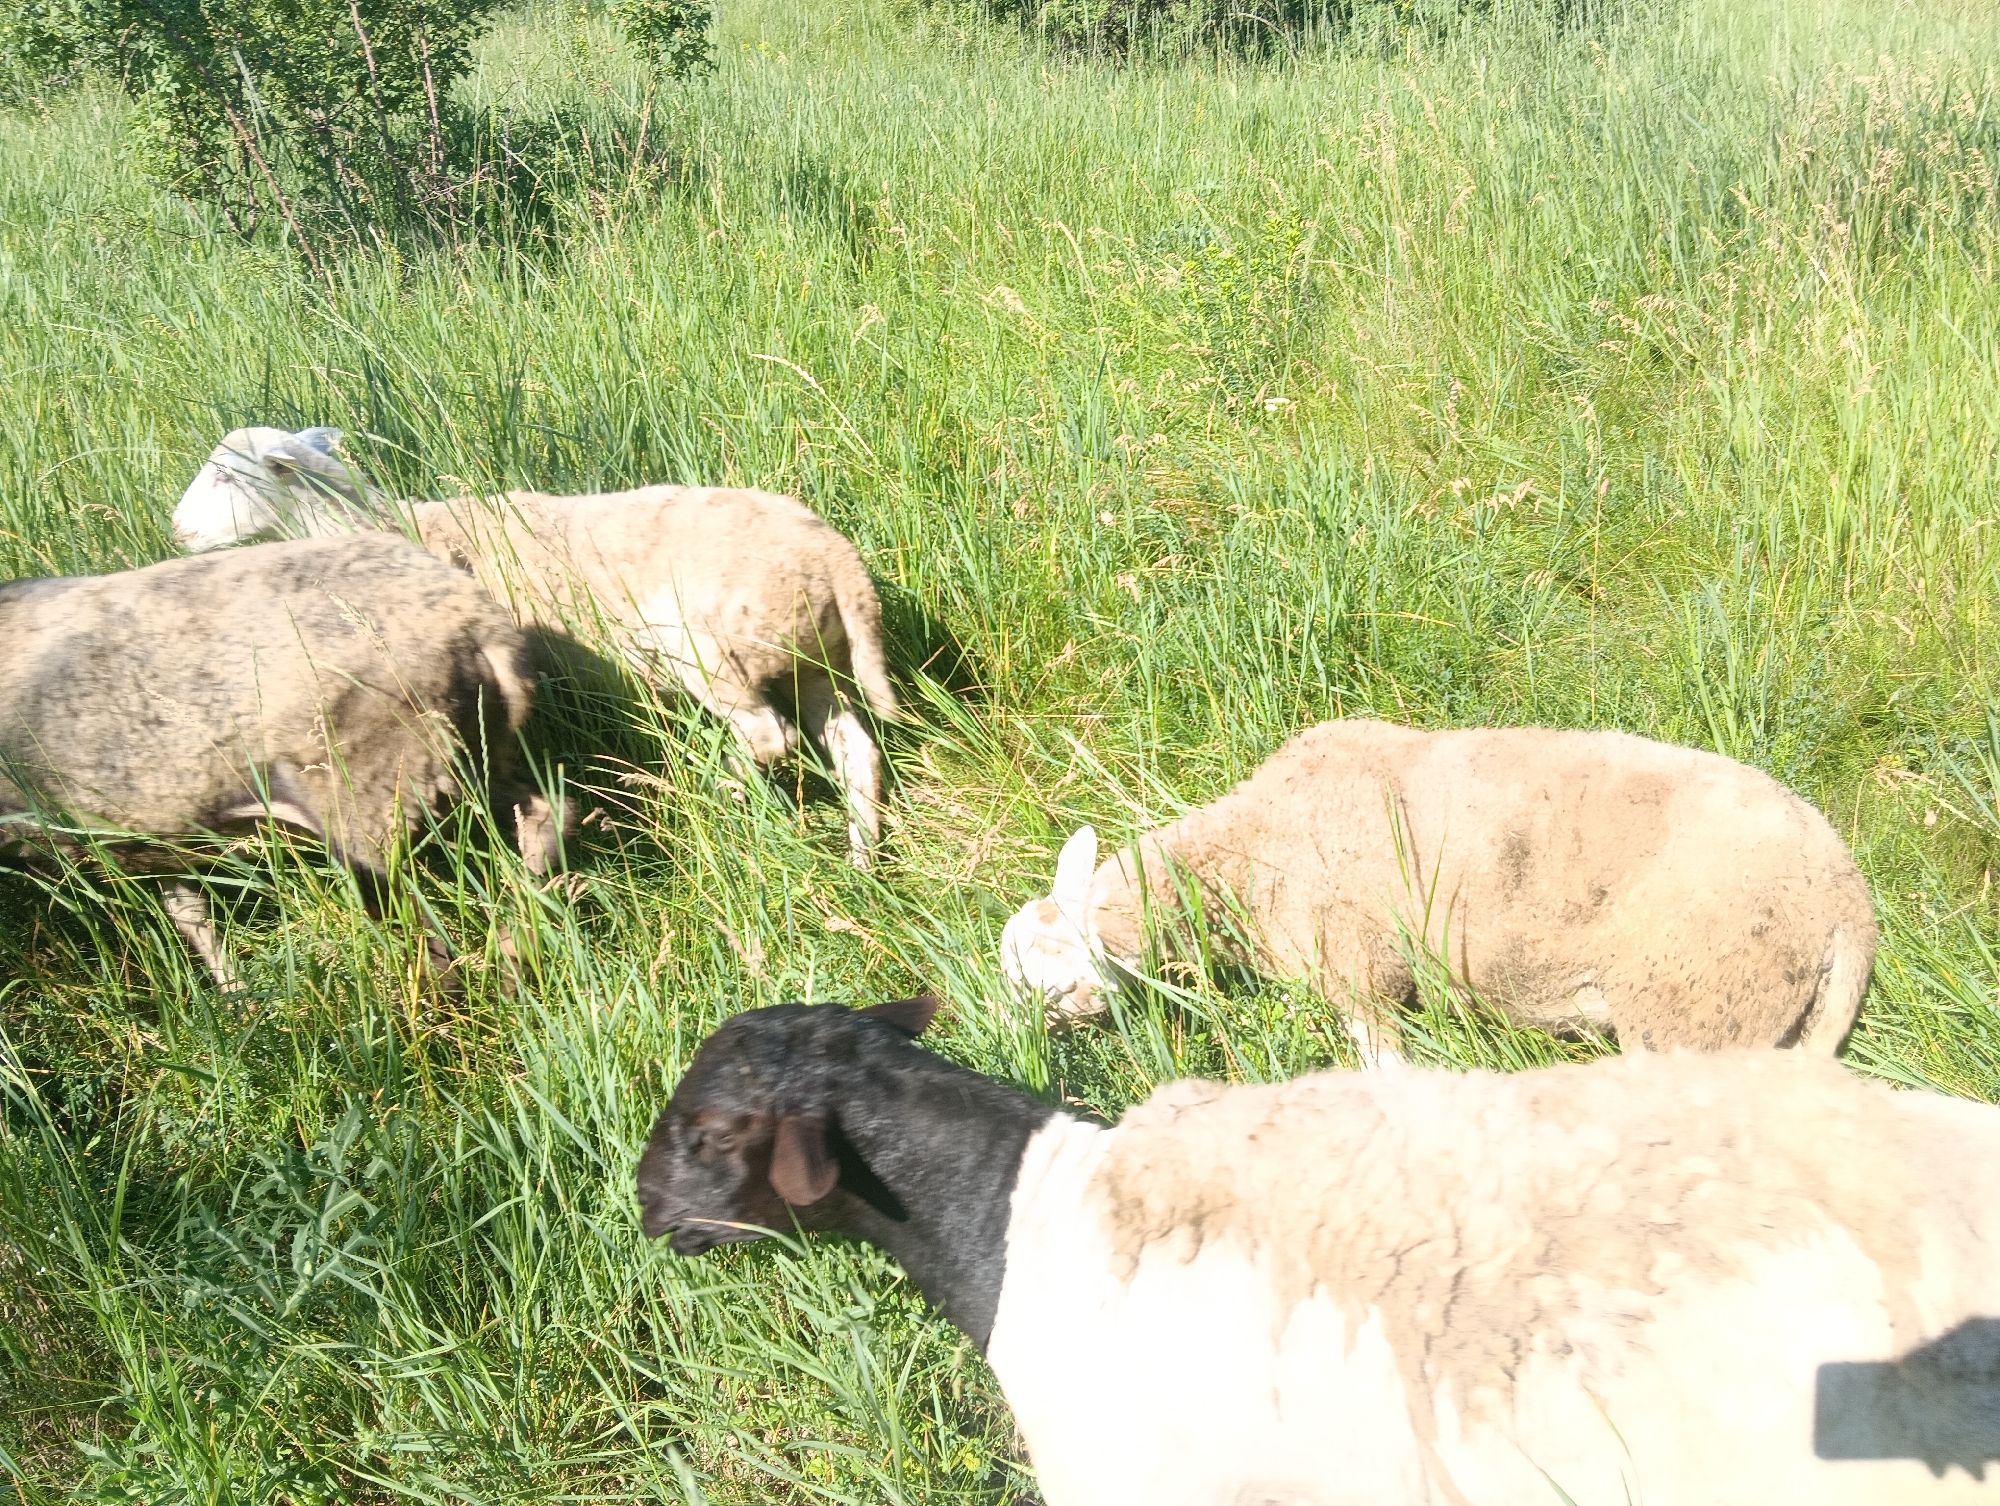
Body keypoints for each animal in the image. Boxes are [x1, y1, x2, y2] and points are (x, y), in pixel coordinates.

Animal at [0, 535, 562, 987]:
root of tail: (480, 624)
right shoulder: (155, 840)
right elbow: (191, 914)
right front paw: (236, 998)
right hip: (469, 755)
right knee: (543, 814)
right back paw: (523, 937)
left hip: (371, 785)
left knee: (417, 915)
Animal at [171, 427, 898, 866]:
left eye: (228, 478)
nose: (176, 531)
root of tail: (836, 561)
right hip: (813, 658)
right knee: (852, 744)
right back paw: (862, 851)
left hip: (714, 652)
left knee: (771, 737)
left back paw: (720, 789)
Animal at [1000, 719, 1877, 1062]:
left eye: (1051, 988)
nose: (1012, 1046)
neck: (1251, 849)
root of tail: (1847, 901)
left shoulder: (1356, 970)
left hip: (1697, 1005)